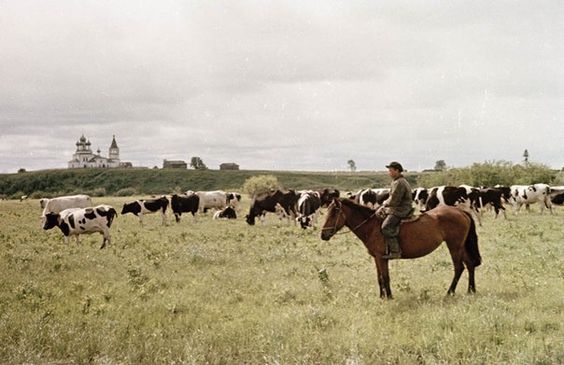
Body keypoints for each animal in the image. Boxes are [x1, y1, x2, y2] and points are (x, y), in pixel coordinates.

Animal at [320, 198, 482, 298]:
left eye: (334, 212)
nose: (323, 234)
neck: (372, 226)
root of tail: (461, 212)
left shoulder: (382, 258)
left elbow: (385, 277)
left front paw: (389, 297)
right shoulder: (377, 258)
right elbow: (379, 277)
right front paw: (382, 297)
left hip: (454, 245)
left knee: (459, 267)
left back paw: (450, 292)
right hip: (460, 246)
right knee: (470, 264)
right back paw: (471, 290)